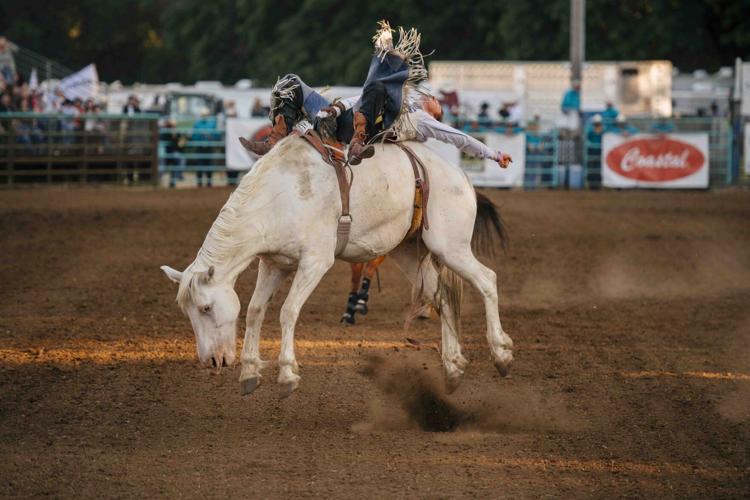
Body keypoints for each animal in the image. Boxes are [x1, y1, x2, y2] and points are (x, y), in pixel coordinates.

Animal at [162, 134, 516, 398]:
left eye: (206, 308)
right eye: (189, 312)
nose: (211, 361)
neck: (282, 196)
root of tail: (461, 177)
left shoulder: (315, 262)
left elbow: (287, 311)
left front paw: (287, 374)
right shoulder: (274, 264)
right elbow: (254, 311)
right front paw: (250, 372)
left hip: (451, 246)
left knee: (488, 280)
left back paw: (501, 354)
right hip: (409, 254)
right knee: (442, 298)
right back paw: (453, 367)